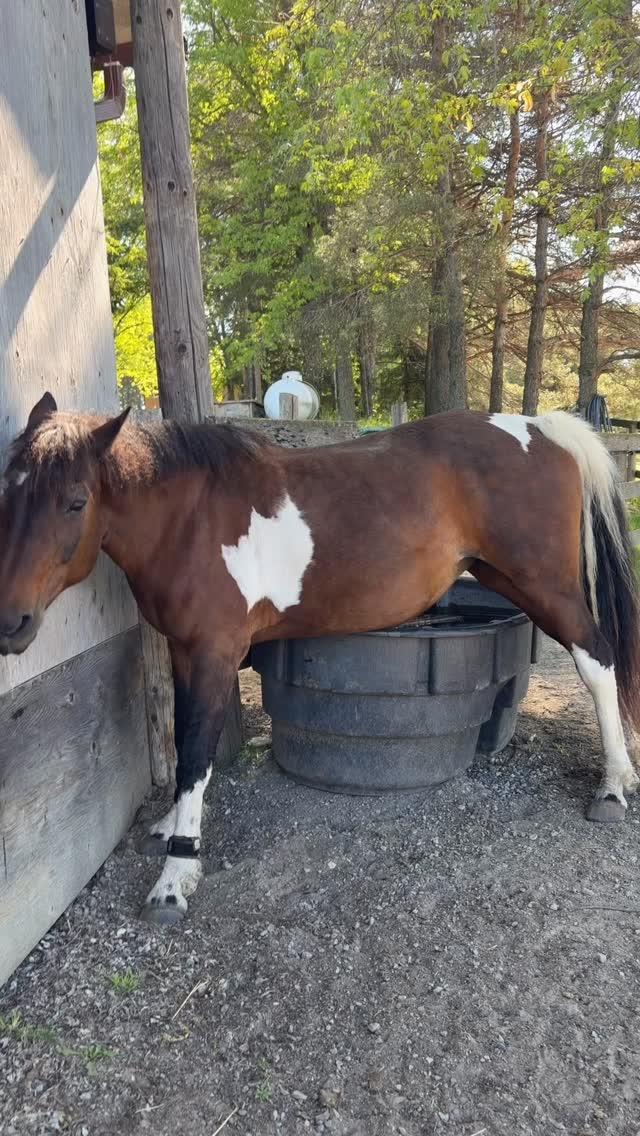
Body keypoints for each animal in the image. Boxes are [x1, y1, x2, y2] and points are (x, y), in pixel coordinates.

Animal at [0, 393, 638, 924]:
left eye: (75, 502)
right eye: (8, 493)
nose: (11, 622)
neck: (190, 517)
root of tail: (541, 428)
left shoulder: (213, 653)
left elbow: (197, 754)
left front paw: (177, 875)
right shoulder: (184, 653)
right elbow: (186, 744)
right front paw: (169, 827)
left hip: (547, 588)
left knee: (599, 662)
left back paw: (612, 786)